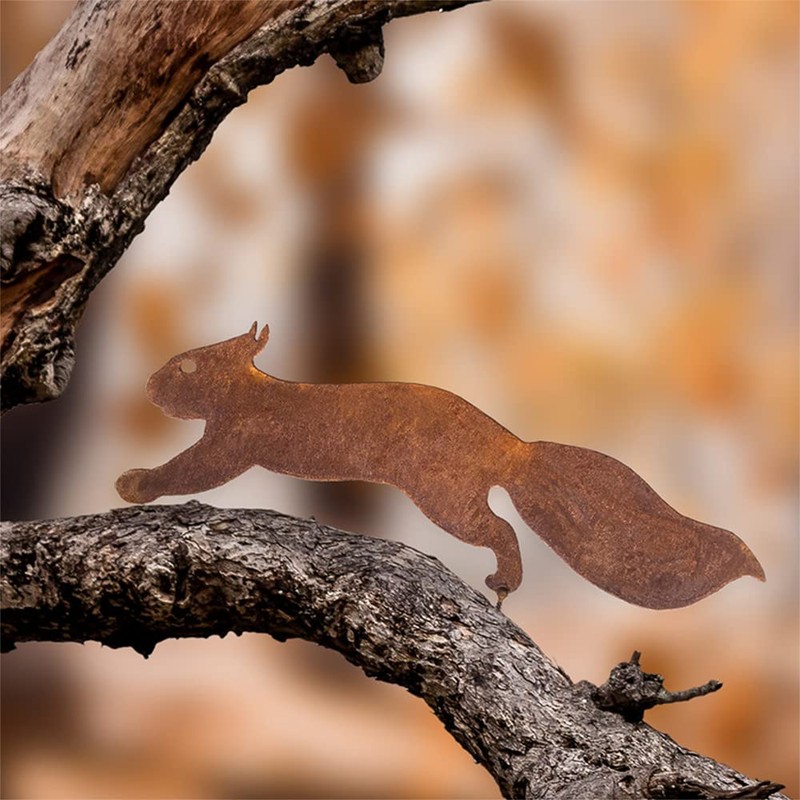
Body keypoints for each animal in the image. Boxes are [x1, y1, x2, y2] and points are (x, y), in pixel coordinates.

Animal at [116, 323, 765, 608]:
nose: (147, 385)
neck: (252, 389)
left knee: (499, 529)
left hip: (443, 496)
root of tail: (511, 446)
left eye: (187, 366)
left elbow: (188, 470)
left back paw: (503, 583)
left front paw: (133, 482)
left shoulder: (232, 442)